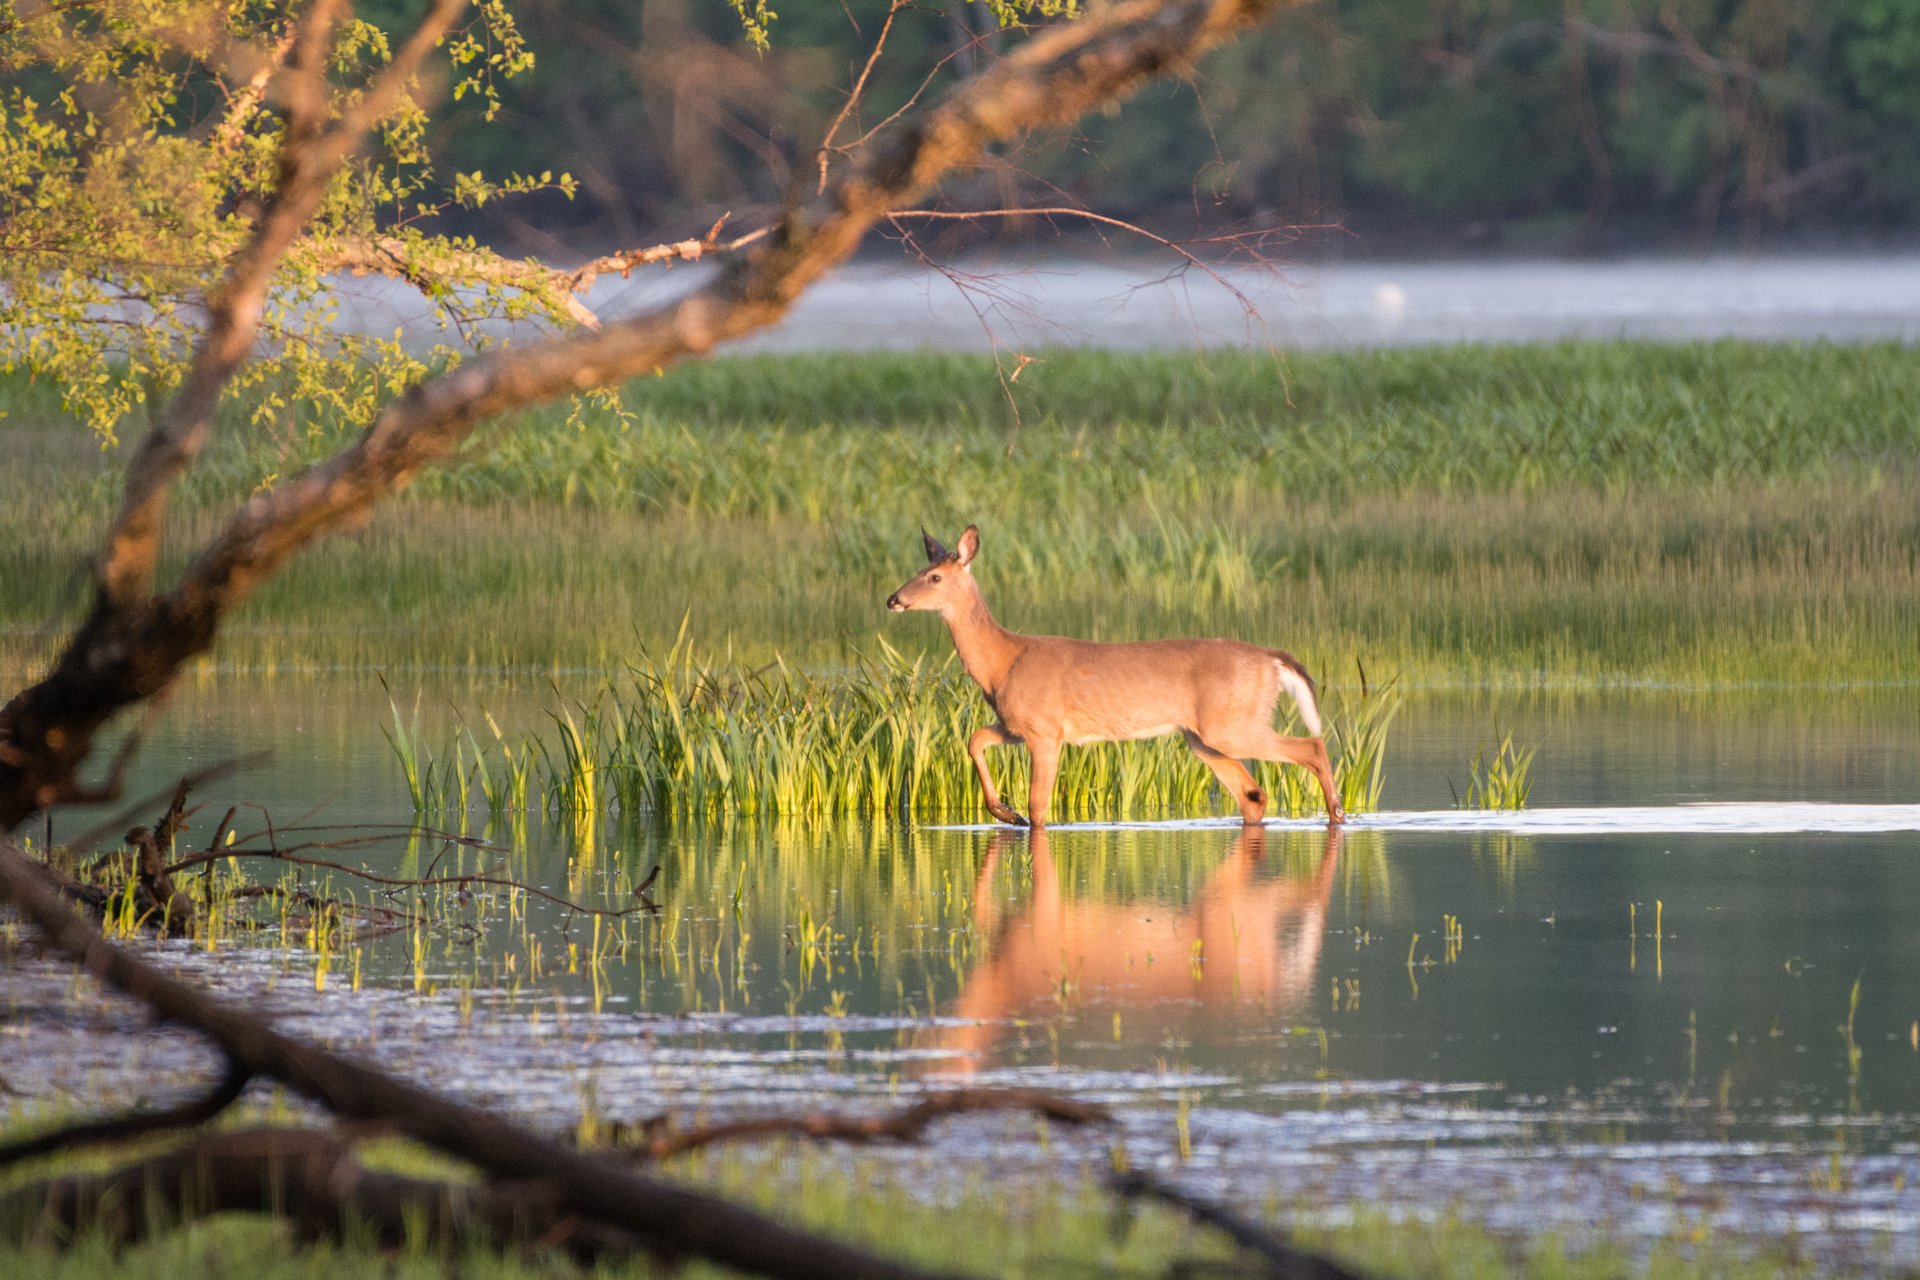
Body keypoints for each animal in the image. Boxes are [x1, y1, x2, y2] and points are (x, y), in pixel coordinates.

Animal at [879, 525, 1344, 825]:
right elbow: (975, 739)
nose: (893, 599)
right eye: (917, 571)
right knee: (1254, 796)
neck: (1003, 662)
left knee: (1314, 745)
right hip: (1203, 738)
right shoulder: (1018, 725)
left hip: (1231, 724)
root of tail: (1271, 658)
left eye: (934, 576)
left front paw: (1019, 818)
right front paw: (1003, 812)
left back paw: (1338, 814)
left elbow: (1040, 808)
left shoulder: (1046, 731)